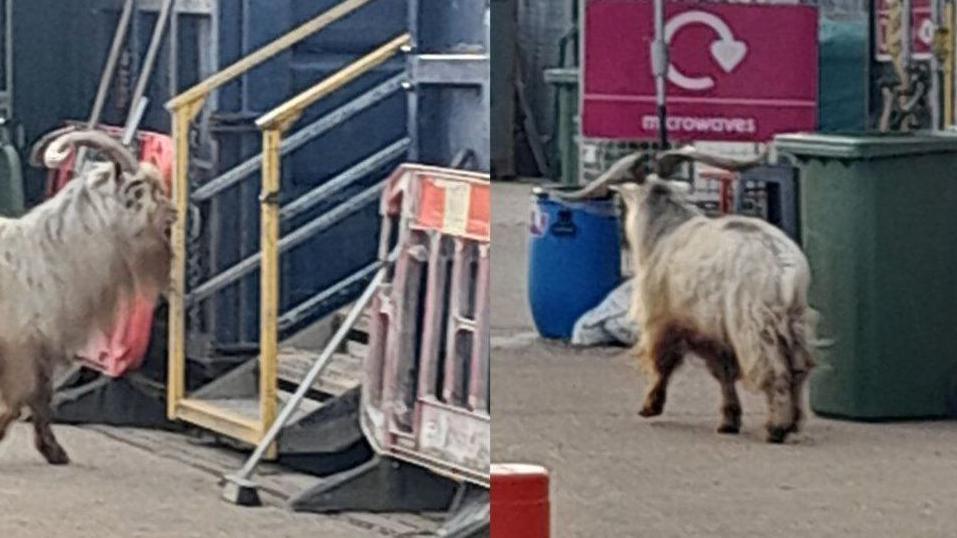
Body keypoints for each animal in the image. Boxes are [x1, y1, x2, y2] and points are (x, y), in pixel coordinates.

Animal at [0, 127, 174, 462]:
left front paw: (53, 451)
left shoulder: (39, 345)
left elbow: (38, 395)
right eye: (142, 191)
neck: (48, 251)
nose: (174, 212)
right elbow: (25, 397)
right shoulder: (23, 344)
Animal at [568, 149, 816, 442]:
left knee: (774, 369)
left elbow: (671, 363)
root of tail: (781, 264)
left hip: (753, 323)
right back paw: (794, 423)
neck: (666, 231)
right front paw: (729, 420)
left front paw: (652, 407)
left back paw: (776, 428)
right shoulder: (711, 331)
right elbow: (722, 371)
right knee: (799, 367)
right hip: (793, 318)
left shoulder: (673, 321)